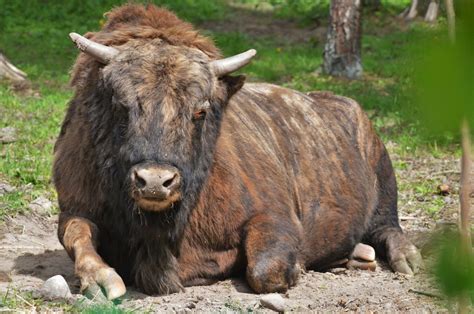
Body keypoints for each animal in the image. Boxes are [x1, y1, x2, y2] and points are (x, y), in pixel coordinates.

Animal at [52, 4, 422, 300]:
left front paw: (299, 266)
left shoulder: (274, 215)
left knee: (388, 225)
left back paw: (407, 259)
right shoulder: (74, 207)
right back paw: (358, 256)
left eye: (200, 111)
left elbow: (266, 271)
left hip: (382, 172)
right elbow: (76, 235)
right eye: (120, 104)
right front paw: (102, 282)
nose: (155, 181)